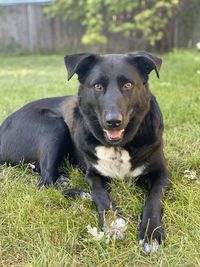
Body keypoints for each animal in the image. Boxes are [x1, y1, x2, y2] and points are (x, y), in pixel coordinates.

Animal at [0, 52, 170, 255]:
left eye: (128, 85)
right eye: (97, 86)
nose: (113, 121)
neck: (118, 146)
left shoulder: (162, 173)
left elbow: (154, 199)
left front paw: (151, 233)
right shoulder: (93, 174)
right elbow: (100, 195)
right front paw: (113, 223)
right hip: (52, 125)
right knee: (45, 184)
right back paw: (82, 194)